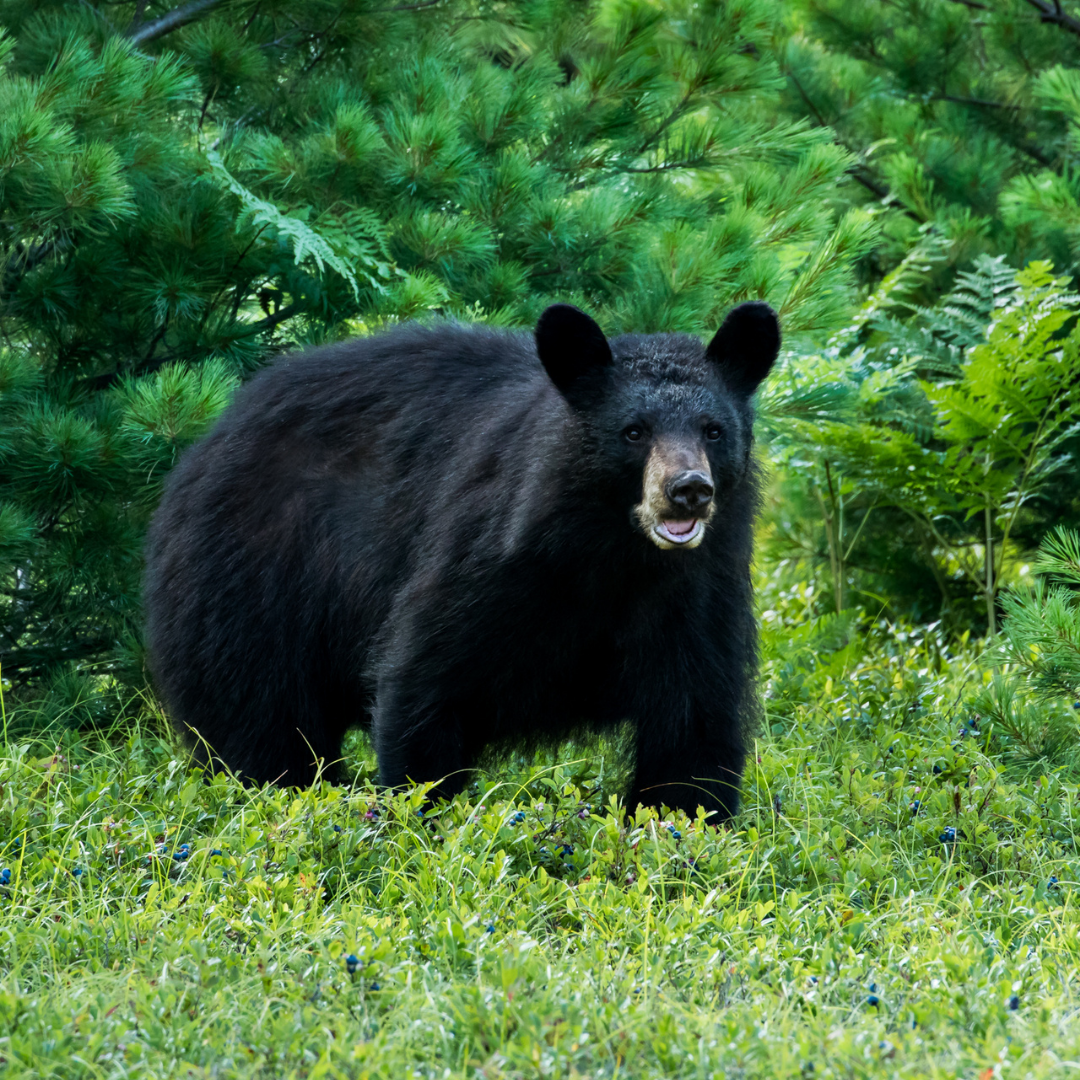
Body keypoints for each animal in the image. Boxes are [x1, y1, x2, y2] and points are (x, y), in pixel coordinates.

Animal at [147, 304, 781, 816]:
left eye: (713, 430)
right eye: (633, 431)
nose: (688, 490)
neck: (615, 557)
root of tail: (212, 435)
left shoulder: (697, 592)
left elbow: (693, 728)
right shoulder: (490, 558)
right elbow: (426, 681)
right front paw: (416, 815)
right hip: (253, 576)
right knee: (260, 716)